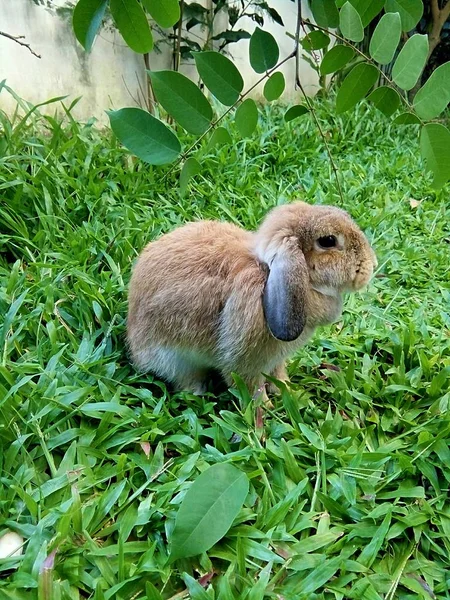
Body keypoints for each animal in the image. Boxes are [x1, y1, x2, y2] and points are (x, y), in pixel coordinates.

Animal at [126, 200, 376, 404]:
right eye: (328, 241)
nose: (371, 264)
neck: (268, 275)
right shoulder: (245, 360)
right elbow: (250, 386)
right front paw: (265, 410)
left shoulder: (276, 360)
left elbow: (278, 375)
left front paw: (289, 392)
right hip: (175, 359)